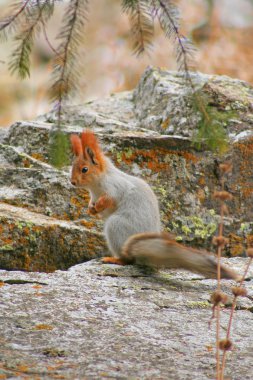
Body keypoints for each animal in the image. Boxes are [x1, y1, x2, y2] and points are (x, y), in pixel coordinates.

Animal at [69, 130, 239, 280]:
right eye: (72, 167)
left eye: (84, 169)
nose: (72, 182)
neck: (95, 187)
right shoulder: (94, 195)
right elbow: (92, 203)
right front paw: (91, 209)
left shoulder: (116, 187)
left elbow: (111, 200)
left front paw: (99, 206)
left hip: (116, 226)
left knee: (128, 260)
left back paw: (115, 259)